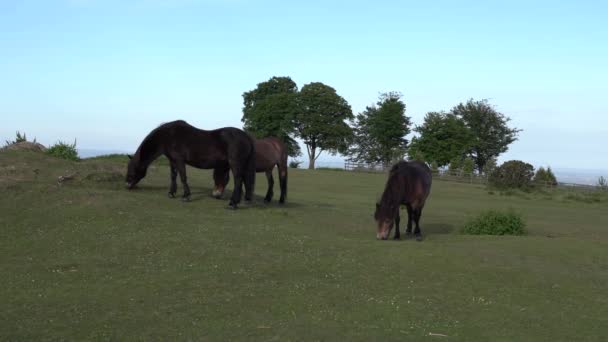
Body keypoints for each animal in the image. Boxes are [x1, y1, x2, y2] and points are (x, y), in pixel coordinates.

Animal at [126, 119, 254, 208]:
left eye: (132, 168)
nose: (127, 185)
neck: (168, 136)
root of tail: (246, 136)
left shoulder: (179, 160)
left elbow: (183, 177)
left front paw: (186, 196)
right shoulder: (172, 161)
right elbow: (173, 176)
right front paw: (171, 193)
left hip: (235, 163)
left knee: (238, 180)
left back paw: (232, 203)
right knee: (245, 180)